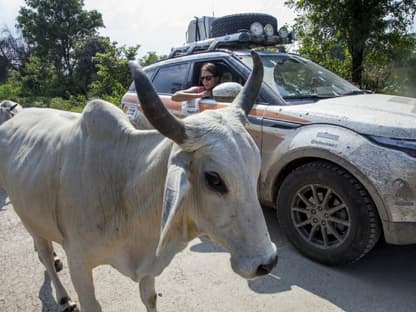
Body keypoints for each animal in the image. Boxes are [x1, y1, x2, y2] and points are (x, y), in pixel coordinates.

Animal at [0, 51, 280, 312]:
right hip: (27, 215)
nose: (267, 262)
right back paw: (62, 296)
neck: (126, 191)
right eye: (214, 179)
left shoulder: (147, 265)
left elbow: (149, 297)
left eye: (255, 165)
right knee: (44, 254)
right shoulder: (78, 262)